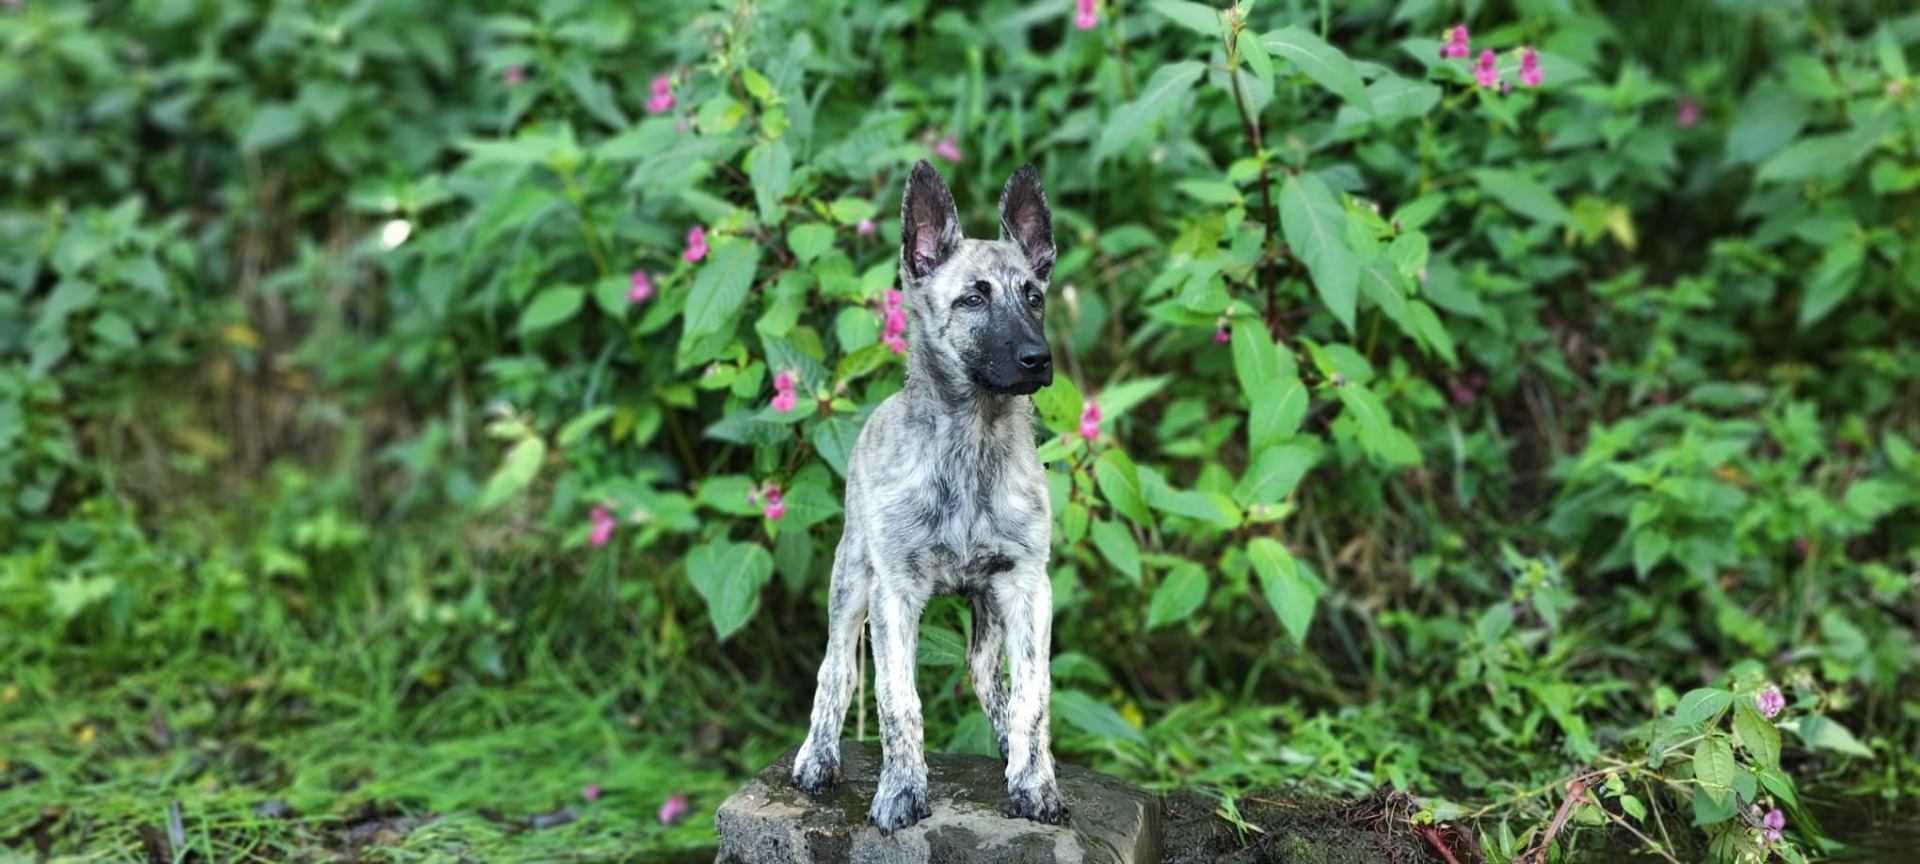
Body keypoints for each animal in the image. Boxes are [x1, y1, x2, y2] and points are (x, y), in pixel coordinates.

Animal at [789, 160, 1069, 835]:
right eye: (973, 298)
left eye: (1035, 296)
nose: (1038, 358)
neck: (971, 445)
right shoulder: (895, 595)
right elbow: (898, 699)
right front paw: (902, 791)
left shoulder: (1027, 585)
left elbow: (1033, 692)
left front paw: (1034, 781)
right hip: (851, 578)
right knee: (835, 666)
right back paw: (818, 757)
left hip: (988, 603)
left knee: (987, 675)